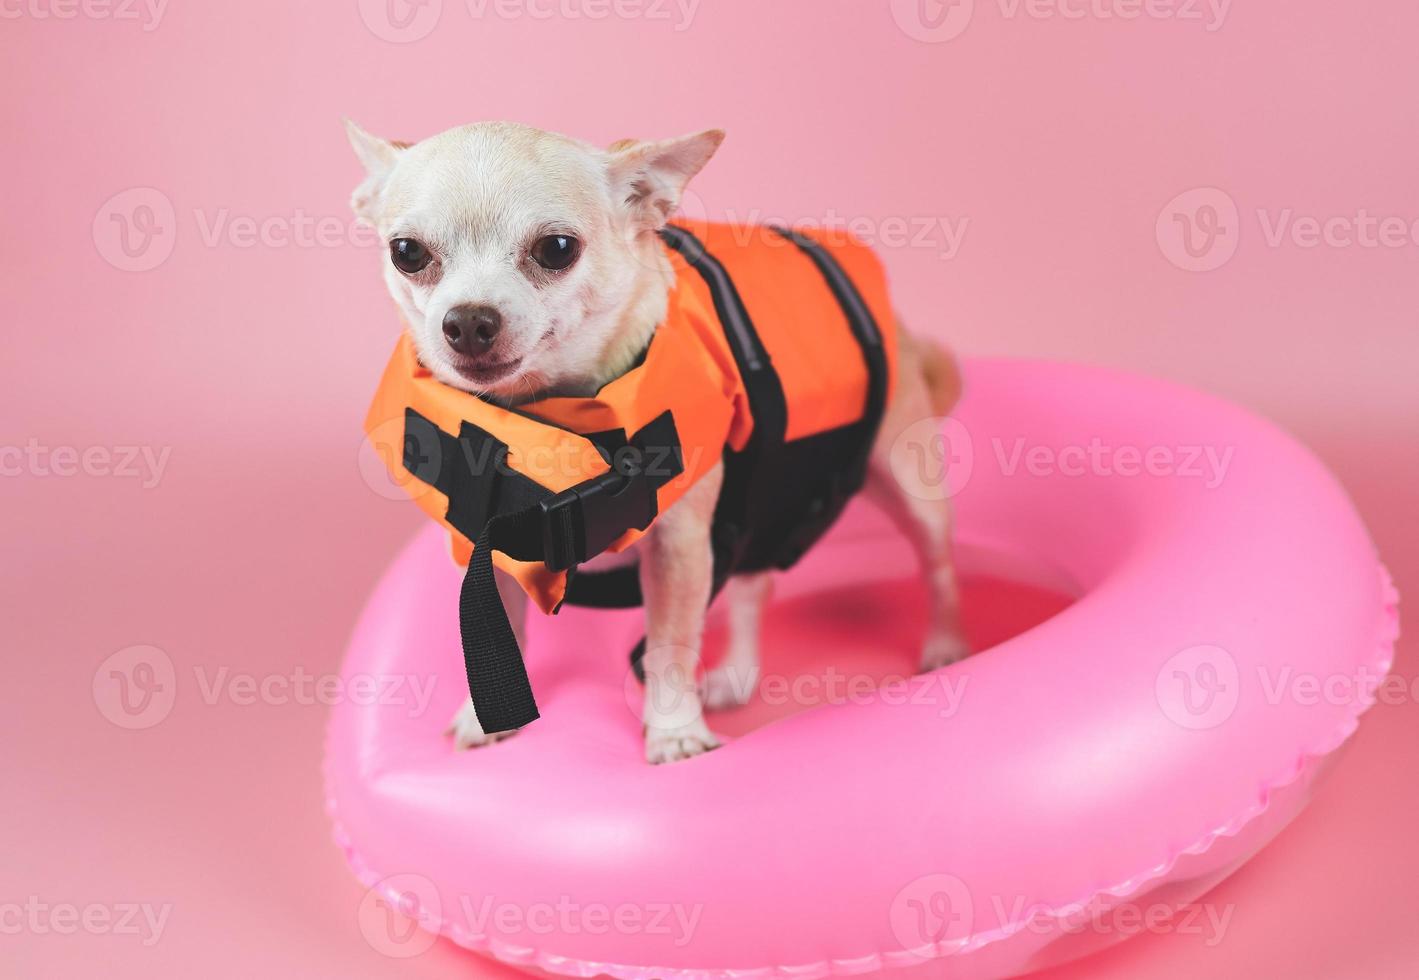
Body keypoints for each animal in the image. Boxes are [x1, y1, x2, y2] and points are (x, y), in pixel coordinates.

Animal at [347, 119, 970, 765]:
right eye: (407, 254)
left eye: (557, 249)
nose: (468, 320)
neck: (548, 410)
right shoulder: (485, 549)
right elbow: (501, 634)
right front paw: (482, 717)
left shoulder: (680, 547)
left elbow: (670, 644)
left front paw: (674, 732)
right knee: (753, 586)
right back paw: (738, 674)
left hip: (907, 483)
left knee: (937, 565)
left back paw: (947, 647)